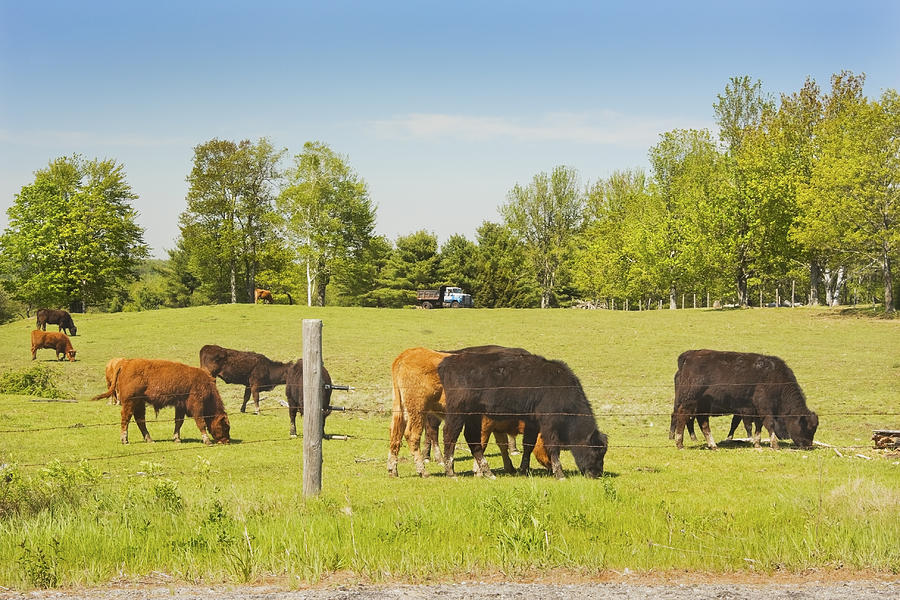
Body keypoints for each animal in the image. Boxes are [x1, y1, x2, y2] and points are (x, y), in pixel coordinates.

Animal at [95, 358, 230, 445]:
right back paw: (125, 440)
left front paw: (177, 439)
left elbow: (178, 422)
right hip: (130, 402)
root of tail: (126, 363)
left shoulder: (180, 406)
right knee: (126, 418)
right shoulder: (196, 406)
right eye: (225, 426)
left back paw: (149, 439)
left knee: (140, 420)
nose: (227, 441)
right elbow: (201, 422)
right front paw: (207, 441)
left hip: (139, 403)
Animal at [438, 351, 608, 480]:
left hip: (473, 415)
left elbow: (528, 445)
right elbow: (553, 447)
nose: (597, 473)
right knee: (450, 435)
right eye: (596, 451)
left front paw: (523, 470)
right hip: (457, 413)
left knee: (472, 438)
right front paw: (560, 475)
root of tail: (449, 362)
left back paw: (489, 473)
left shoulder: (532, 422)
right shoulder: (549, 423)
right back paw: (451, 472)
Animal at [671, 349, 818, 450]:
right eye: (807, 427)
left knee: (703, 423)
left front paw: (757, 443)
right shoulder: (764, 406)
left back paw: (713, 445)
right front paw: (774, 444)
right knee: (682, 417)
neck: (776, 379)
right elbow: (769, 423)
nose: (808, 445)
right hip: (689, 402)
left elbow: (758, 425)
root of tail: (690, 355)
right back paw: (679, 443)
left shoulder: (756, 410)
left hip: (703, 405)